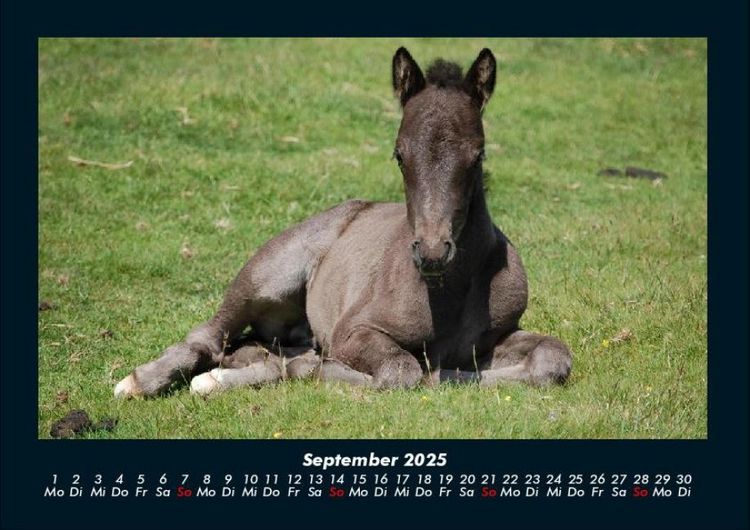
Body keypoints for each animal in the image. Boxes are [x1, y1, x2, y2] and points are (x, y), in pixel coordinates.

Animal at [114, 47, 572, 398]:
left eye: (477, 155)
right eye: (399, 154)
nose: (432, 252)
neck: (447, 294)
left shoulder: (496, 336)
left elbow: (553, 358)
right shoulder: (353, 331)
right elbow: (401, 371)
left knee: (257, 348)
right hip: (268, 274)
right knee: (210, 335)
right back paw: (141, 382)